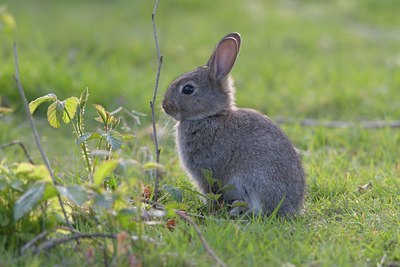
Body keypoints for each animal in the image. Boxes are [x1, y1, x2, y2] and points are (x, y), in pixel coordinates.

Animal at [161, 32, 304, 217]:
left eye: (188, 89)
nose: (165, 106)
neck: (210, 116)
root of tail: (292, 207)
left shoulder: (207, 174)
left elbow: (211, 193)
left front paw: (207, 209)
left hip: (254, 181)